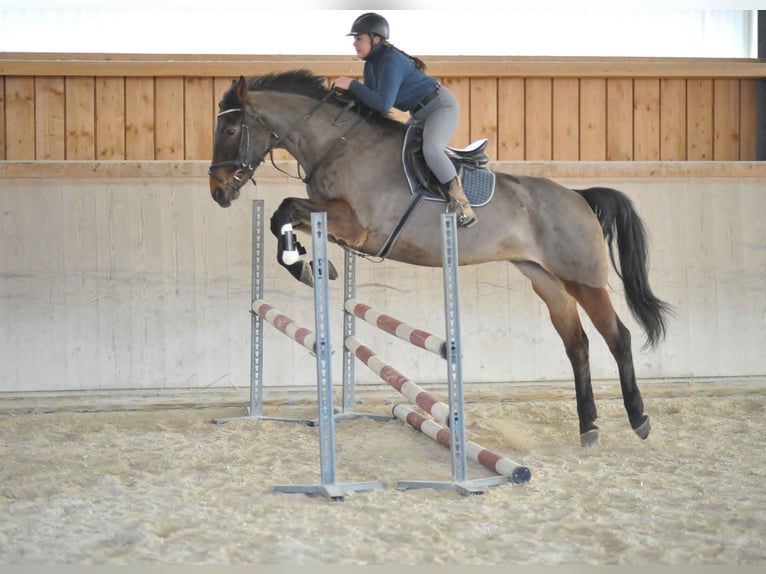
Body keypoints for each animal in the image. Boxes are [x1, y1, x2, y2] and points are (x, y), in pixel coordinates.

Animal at [208, 71, 672, 450]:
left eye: (231, 128)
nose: (218, 192)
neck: (337, 146)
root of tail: (579, 197)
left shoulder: (355, 225)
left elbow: (285, 209)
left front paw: (301, 262)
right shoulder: (330, 218)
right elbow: (281, 215)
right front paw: (304, 263)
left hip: (583, 279)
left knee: (618, 337)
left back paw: (639, 419)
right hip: (546, 281)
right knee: (577, 344)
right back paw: (588, 427)